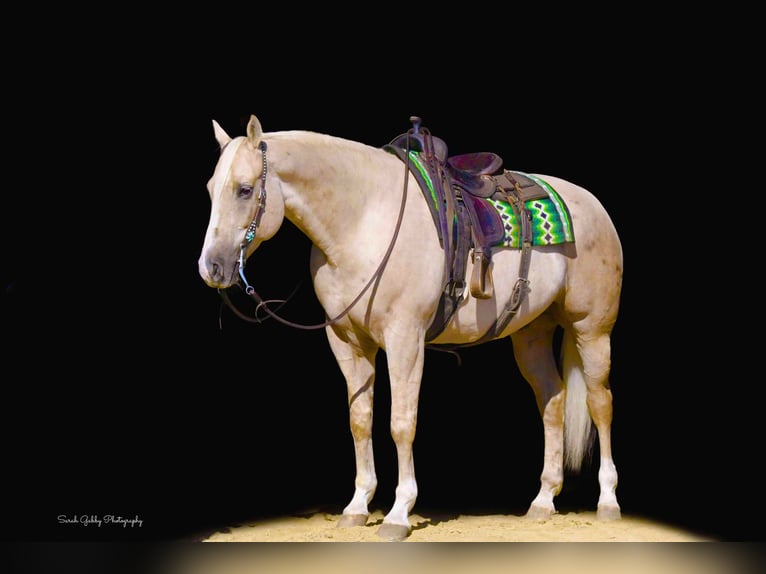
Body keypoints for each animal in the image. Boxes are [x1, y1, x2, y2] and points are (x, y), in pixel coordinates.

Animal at [198, 115, 624, 544]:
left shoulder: (405, 339)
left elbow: (401, 423)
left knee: (600, 403)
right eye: (211, 189)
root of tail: (593, 206)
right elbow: (360, 420)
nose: (211, 268)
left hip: (592, 330)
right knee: (552, 401)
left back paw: (607, 501)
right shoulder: (347, 342)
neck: (364, 220)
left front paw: (399, 513)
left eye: (245, 189)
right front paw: (357, 507)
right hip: (531, 333)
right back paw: (543, 500)